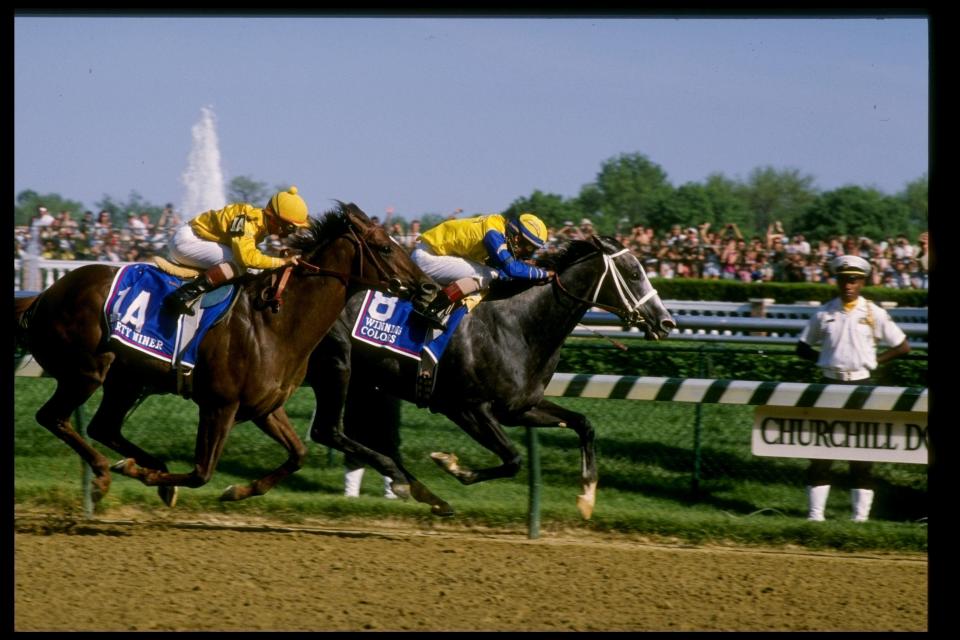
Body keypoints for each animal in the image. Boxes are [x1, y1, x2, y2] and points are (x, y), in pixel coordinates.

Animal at [15, 202, 436, 508]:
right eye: (386, 247)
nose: (429, 287)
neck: (274, 322)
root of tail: (44, 295)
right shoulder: (220, 404)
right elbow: (202, 472)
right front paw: (150, 477)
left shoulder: (265, 408)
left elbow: (298, 454)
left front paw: (235, 490)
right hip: (86, 371)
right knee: (54, 417)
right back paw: (104, 474)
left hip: (128, 379)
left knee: (102, 426)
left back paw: (138, 466)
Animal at [302, 238, 676, 516]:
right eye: (633, 273)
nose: (666, 321)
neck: (519, 324)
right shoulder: (465, 407)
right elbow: (513, 459)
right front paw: (452, 464)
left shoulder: (519, 408)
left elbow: (583, 424)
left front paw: (586, 496)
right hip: (335, 368)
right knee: (327, 430)